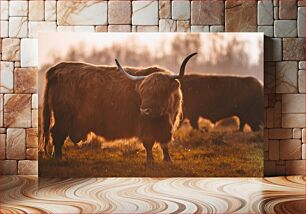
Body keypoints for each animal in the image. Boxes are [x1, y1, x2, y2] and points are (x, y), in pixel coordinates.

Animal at [41, 53, 197, 162]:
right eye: (143, 92)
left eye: (159, 92)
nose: (144, 110)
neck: (162, 117)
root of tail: (57, 68)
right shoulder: (145, 126)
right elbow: (148, 143)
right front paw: (150, 161)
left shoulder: (168, 125)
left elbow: (164, 144)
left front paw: (167, 160)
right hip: (63, 117)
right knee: (56, 134)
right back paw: (58, 157)